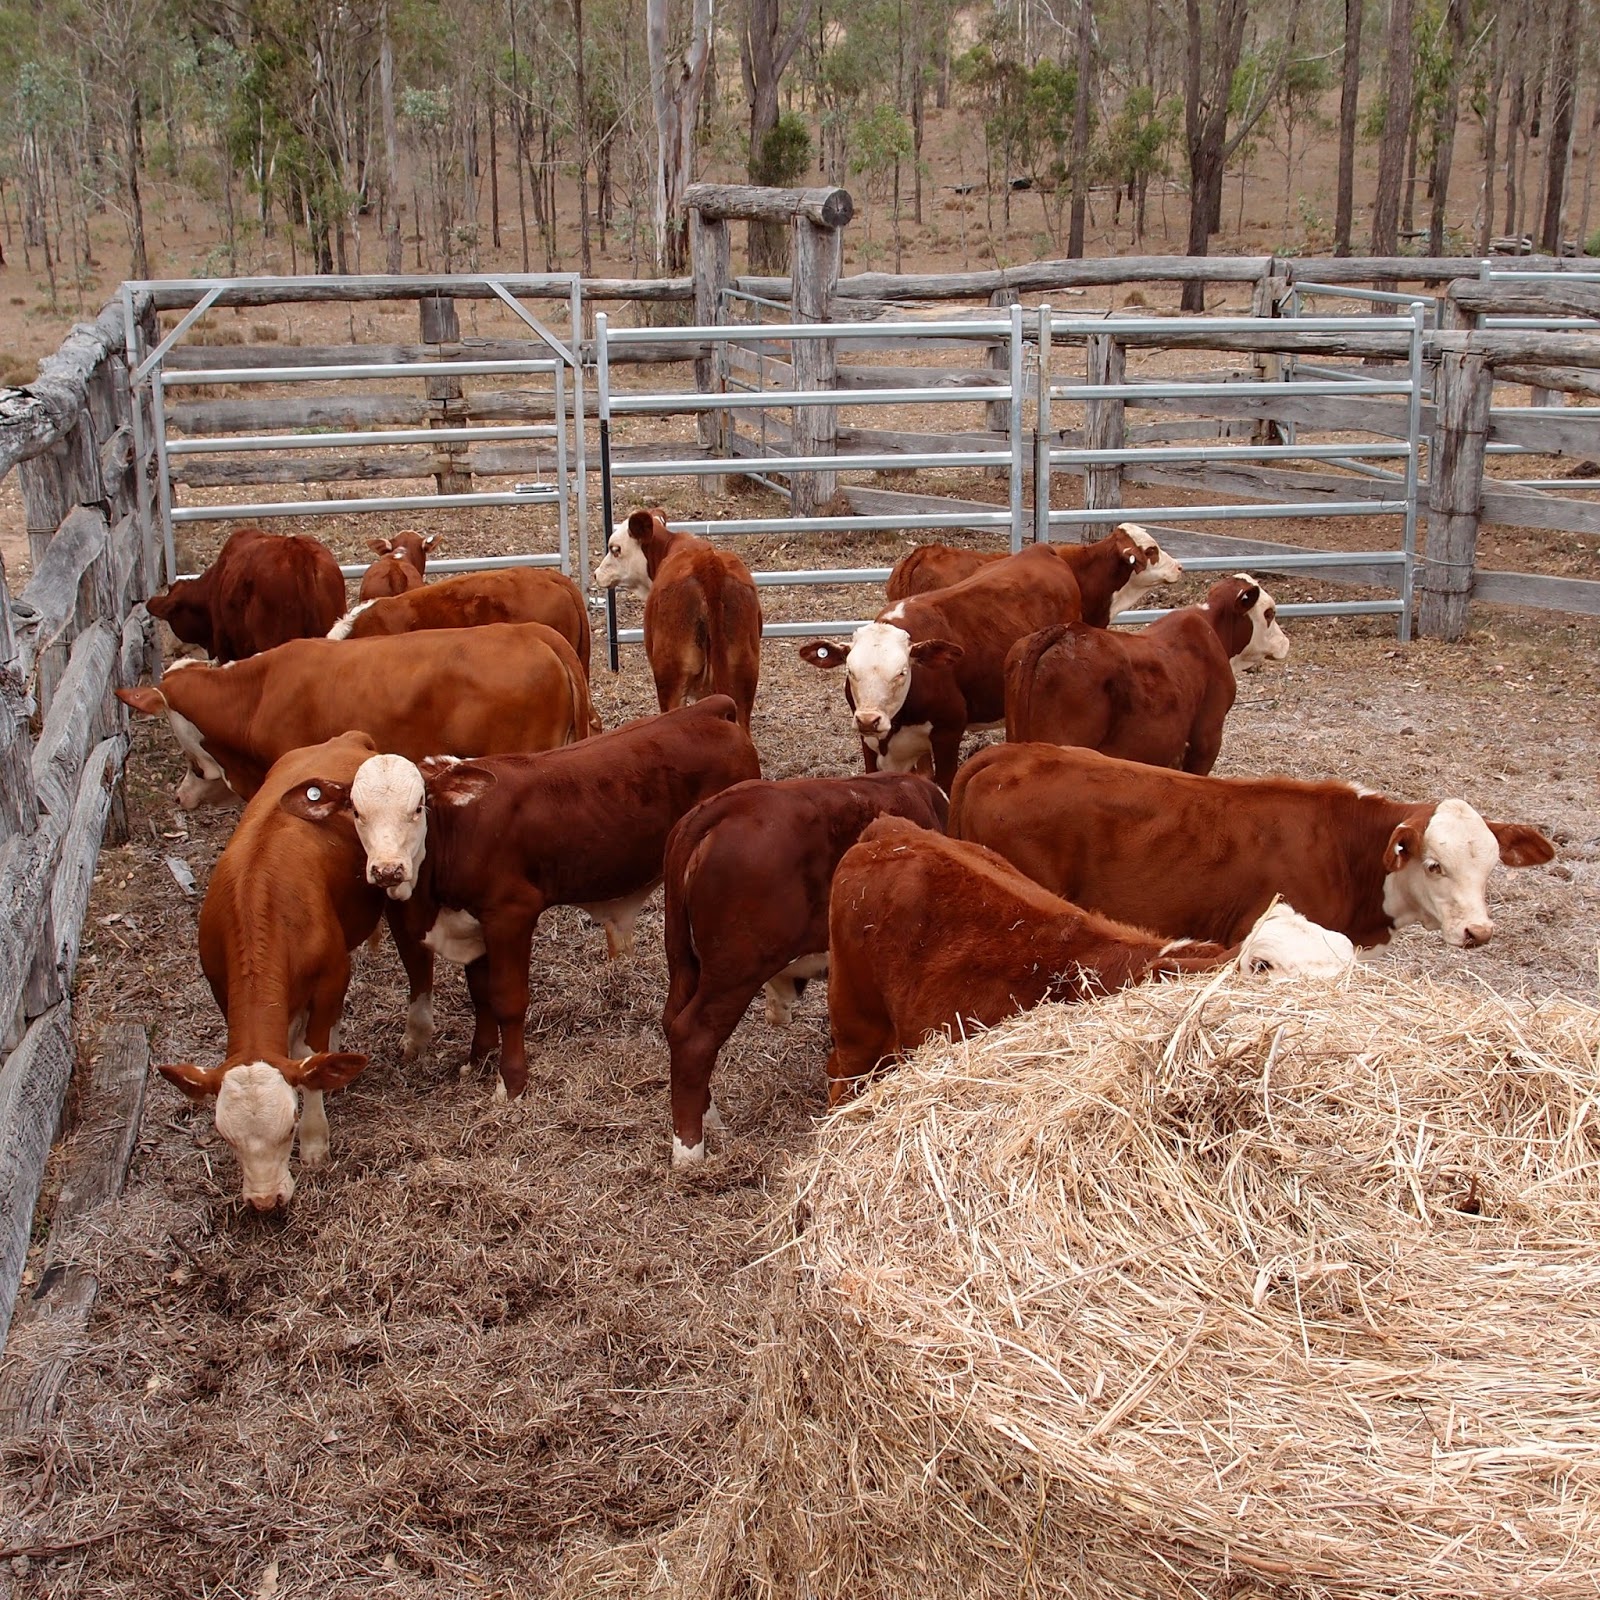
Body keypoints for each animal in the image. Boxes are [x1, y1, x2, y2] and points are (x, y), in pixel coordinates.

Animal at [154, 732, 426, 1211]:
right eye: (226, 1137)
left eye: (290, 1125)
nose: (265, 1201)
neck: (259, 904)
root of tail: (345, 737)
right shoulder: (222, 989)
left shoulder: (333, 974)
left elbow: (311, 1057)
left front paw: (316, 1142)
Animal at [280, 697, 762, 1102]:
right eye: (357, 812)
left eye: (418, 807)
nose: (387, 870)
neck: (456, 830)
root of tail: (709, 708)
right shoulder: (472, 922)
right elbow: (480, 994)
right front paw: (477, 1059)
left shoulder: (511, 914)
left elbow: (509, 999)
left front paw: (511, 1081)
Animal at [661, 771, 948, 1165]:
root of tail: (721, 807)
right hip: (735, 971)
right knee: (693, 1037)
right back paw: (690, 1153)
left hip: (684, 962)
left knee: (671, 1021)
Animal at [797, 542, 1084, 791]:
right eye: (851, 671)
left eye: (902, 672)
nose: (868, 719)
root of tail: (1041, 549)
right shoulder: (868, 743)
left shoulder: (948, 734)